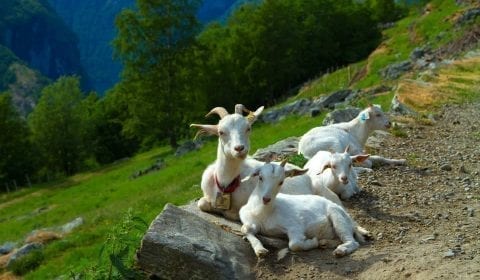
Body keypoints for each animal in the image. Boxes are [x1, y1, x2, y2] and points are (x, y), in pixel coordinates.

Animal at [240, 161, 372, 258]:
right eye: (260, 177)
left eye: (281, 182)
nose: (266, 199)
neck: (263, 212)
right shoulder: (250, 221)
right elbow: (245, 229)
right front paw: (260, 250)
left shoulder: (295, 226)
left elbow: (294, 244)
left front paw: (312, 242)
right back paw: (325, 243)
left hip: (337, 217)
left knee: (352, 240)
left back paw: (341, 250)